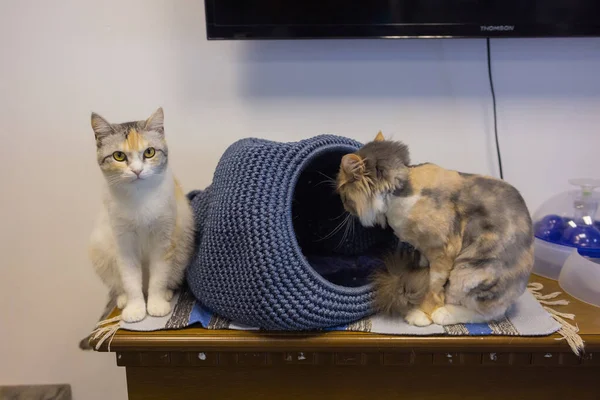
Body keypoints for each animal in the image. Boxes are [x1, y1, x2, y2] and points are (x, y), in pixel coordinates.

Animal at [88, 108, 195, 324]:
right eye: (119, 156)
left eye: (149, 152)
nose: (137, 170)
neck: (139, 197)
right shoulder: (124, 243)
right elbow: (130, 280)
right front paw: (136, 308)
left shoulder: (163, 241)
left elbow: (158, 277)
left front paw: (156, 304)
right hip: (100, 249)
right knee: (120, 284)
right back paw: (122, 299)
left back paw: (166, 293)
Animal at [338, 133, 536, 326]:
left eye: (343, 194)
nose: (344, 206)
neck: (400, 190)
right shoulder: (423, 250)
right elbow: (424, 277)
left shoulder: (443, 251)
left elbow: (432, 287)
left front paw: (422, 313)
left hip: (468, 272)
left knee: (490, 313)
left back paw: (445, 313)